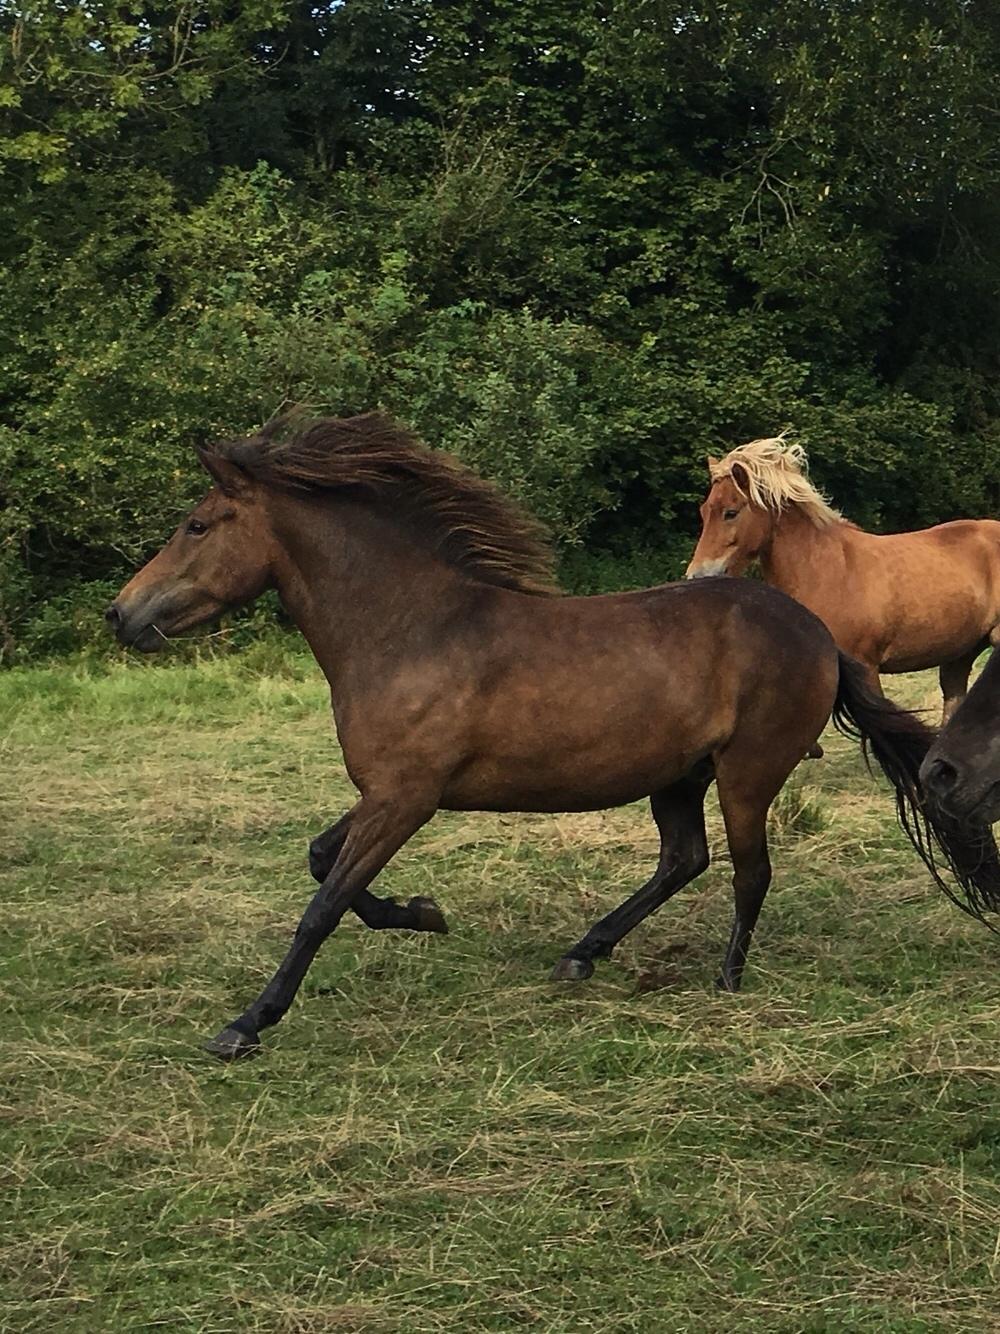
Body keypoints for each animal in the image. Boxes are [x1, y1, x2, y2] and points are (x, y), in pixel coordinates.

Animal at [688, 440, 1000, 725]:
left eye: (730, 512)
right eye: (704, 511)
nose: (698, 575)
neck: (825, 571)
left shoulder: (866, 668)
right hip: (960, 654)